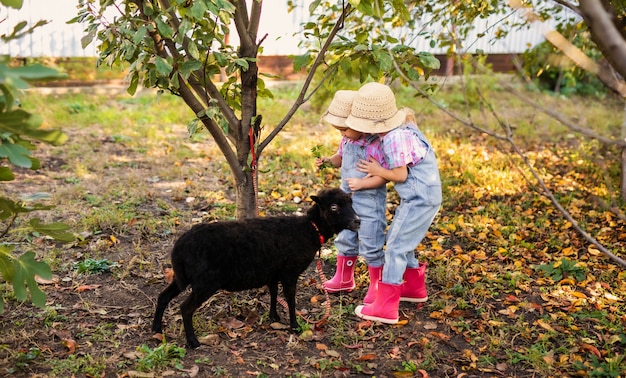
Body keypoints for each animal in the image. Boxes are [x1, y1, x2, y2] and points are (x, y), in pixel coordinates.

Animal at [151, 189, 360, 348]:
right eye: (334, 207)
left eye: (351, 203)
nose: (358, 221)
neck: (310, 229)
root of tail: (179, 247)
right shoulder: (290, 272)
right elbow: (290, 299)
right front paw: (295, 326)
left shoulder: (274, 272)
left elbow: (274, 293)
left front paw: (274, 316)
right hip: (205, 282)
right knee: (185, 308)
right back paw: (193, 342)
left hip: (183, 277)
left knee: (163, 296)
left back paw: (156, 329)